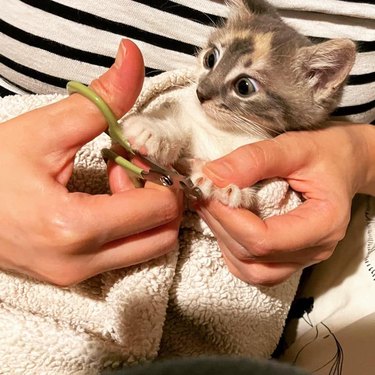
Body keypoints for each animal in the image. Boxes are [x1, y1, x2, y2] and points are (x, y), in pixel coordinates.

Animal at [122, 0, 356, 212]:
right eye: (210, 58)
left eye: (244, 86)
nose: (201, 92)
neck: (226, 130)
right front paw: (151, 131)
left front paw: (223, 185)